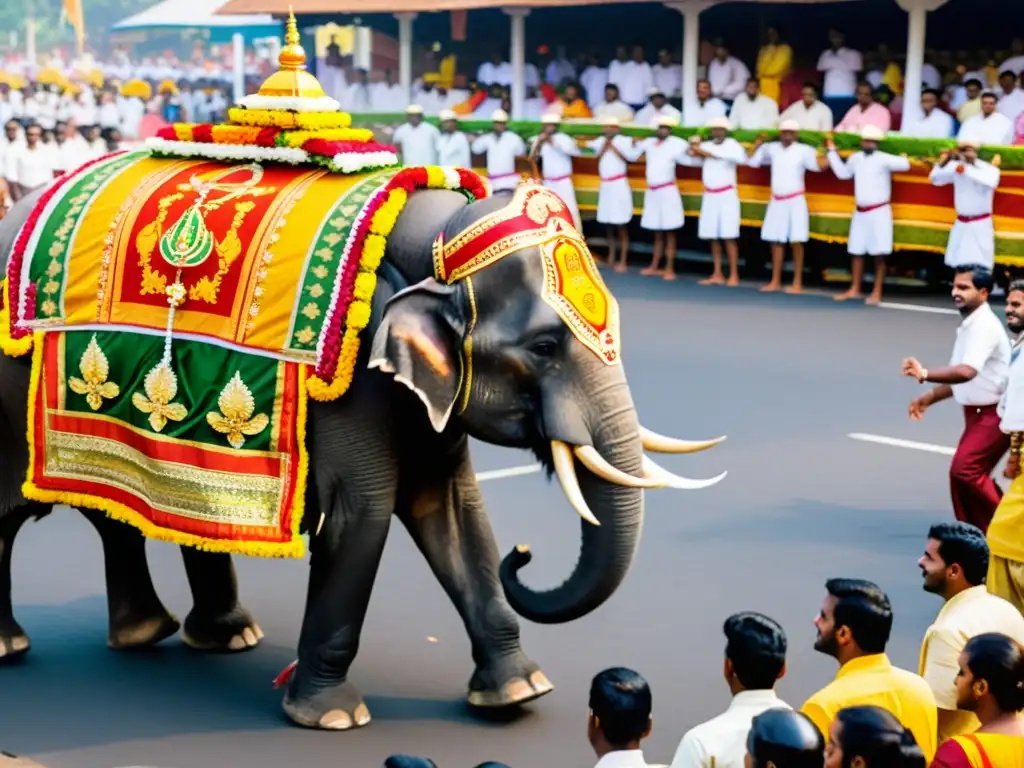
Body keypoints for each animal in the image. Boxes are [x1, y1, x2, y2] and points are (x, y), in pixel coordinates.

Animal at [0, 13, 720, 733]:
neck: (431, 231)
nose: (525, 555)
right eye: (544, 346)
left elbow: (449, 505)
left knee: (122, 509)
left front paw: (518, 693)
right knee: (12, 505)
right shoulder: (353, 376)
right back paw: (20, 647)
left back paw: (184, 635)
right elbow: (363, 512)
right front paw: (330, 717)